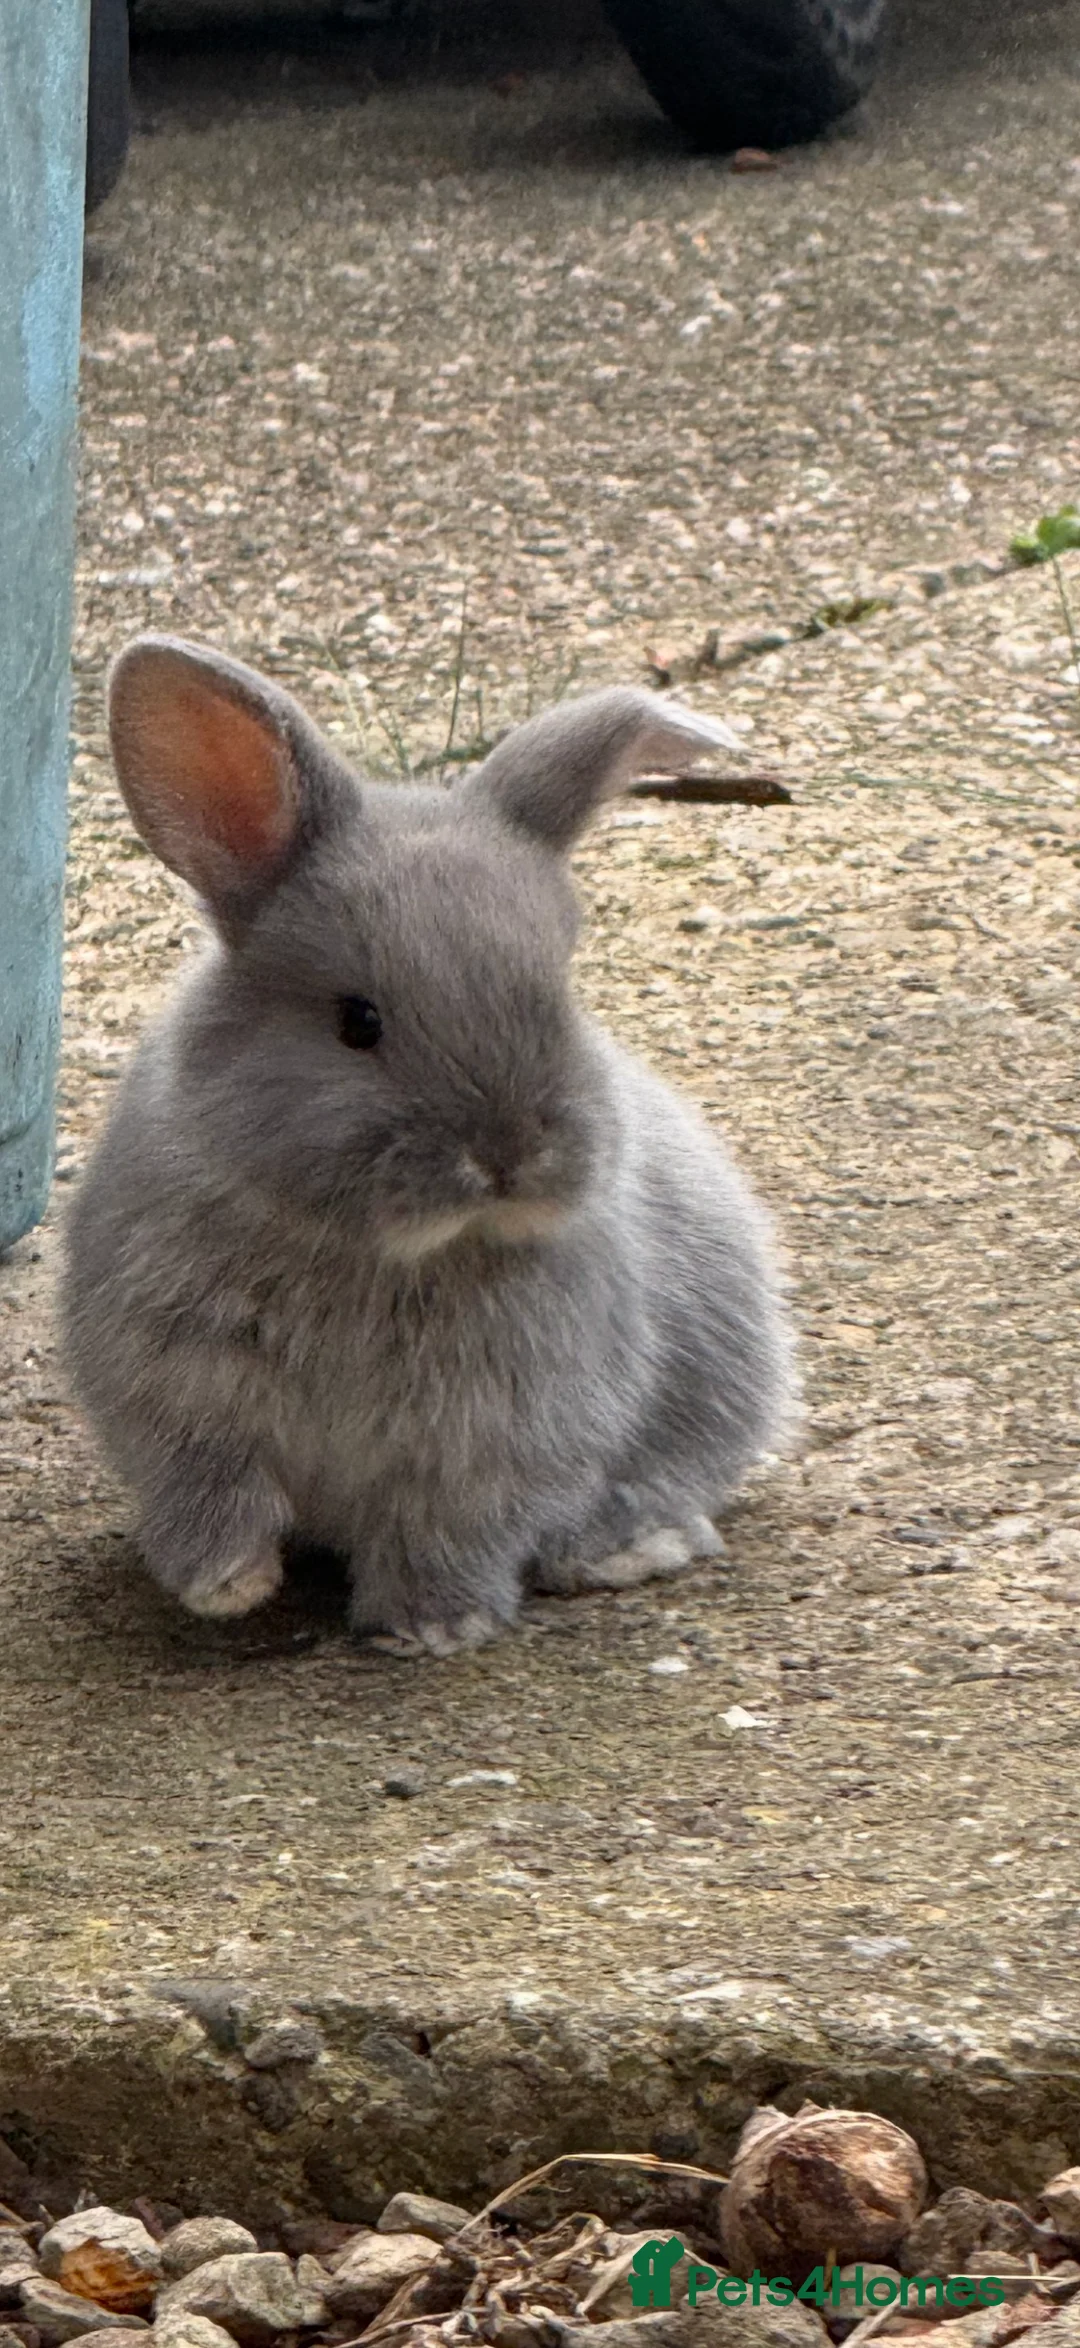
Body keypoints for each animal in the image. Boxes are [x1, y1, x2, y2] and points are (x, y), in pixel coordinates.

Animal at [62, 635, 797, 1655]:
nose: (509, 1155)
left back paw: (626, 1547)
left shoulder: (494, 1442)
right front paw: (229, 1588)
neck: (379, 1253)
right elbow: (214, 1502)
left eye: (560, 991)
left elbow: (448, 1530)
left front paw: (432, 1628)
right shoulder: (181, 1407)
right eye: (357, 1022)